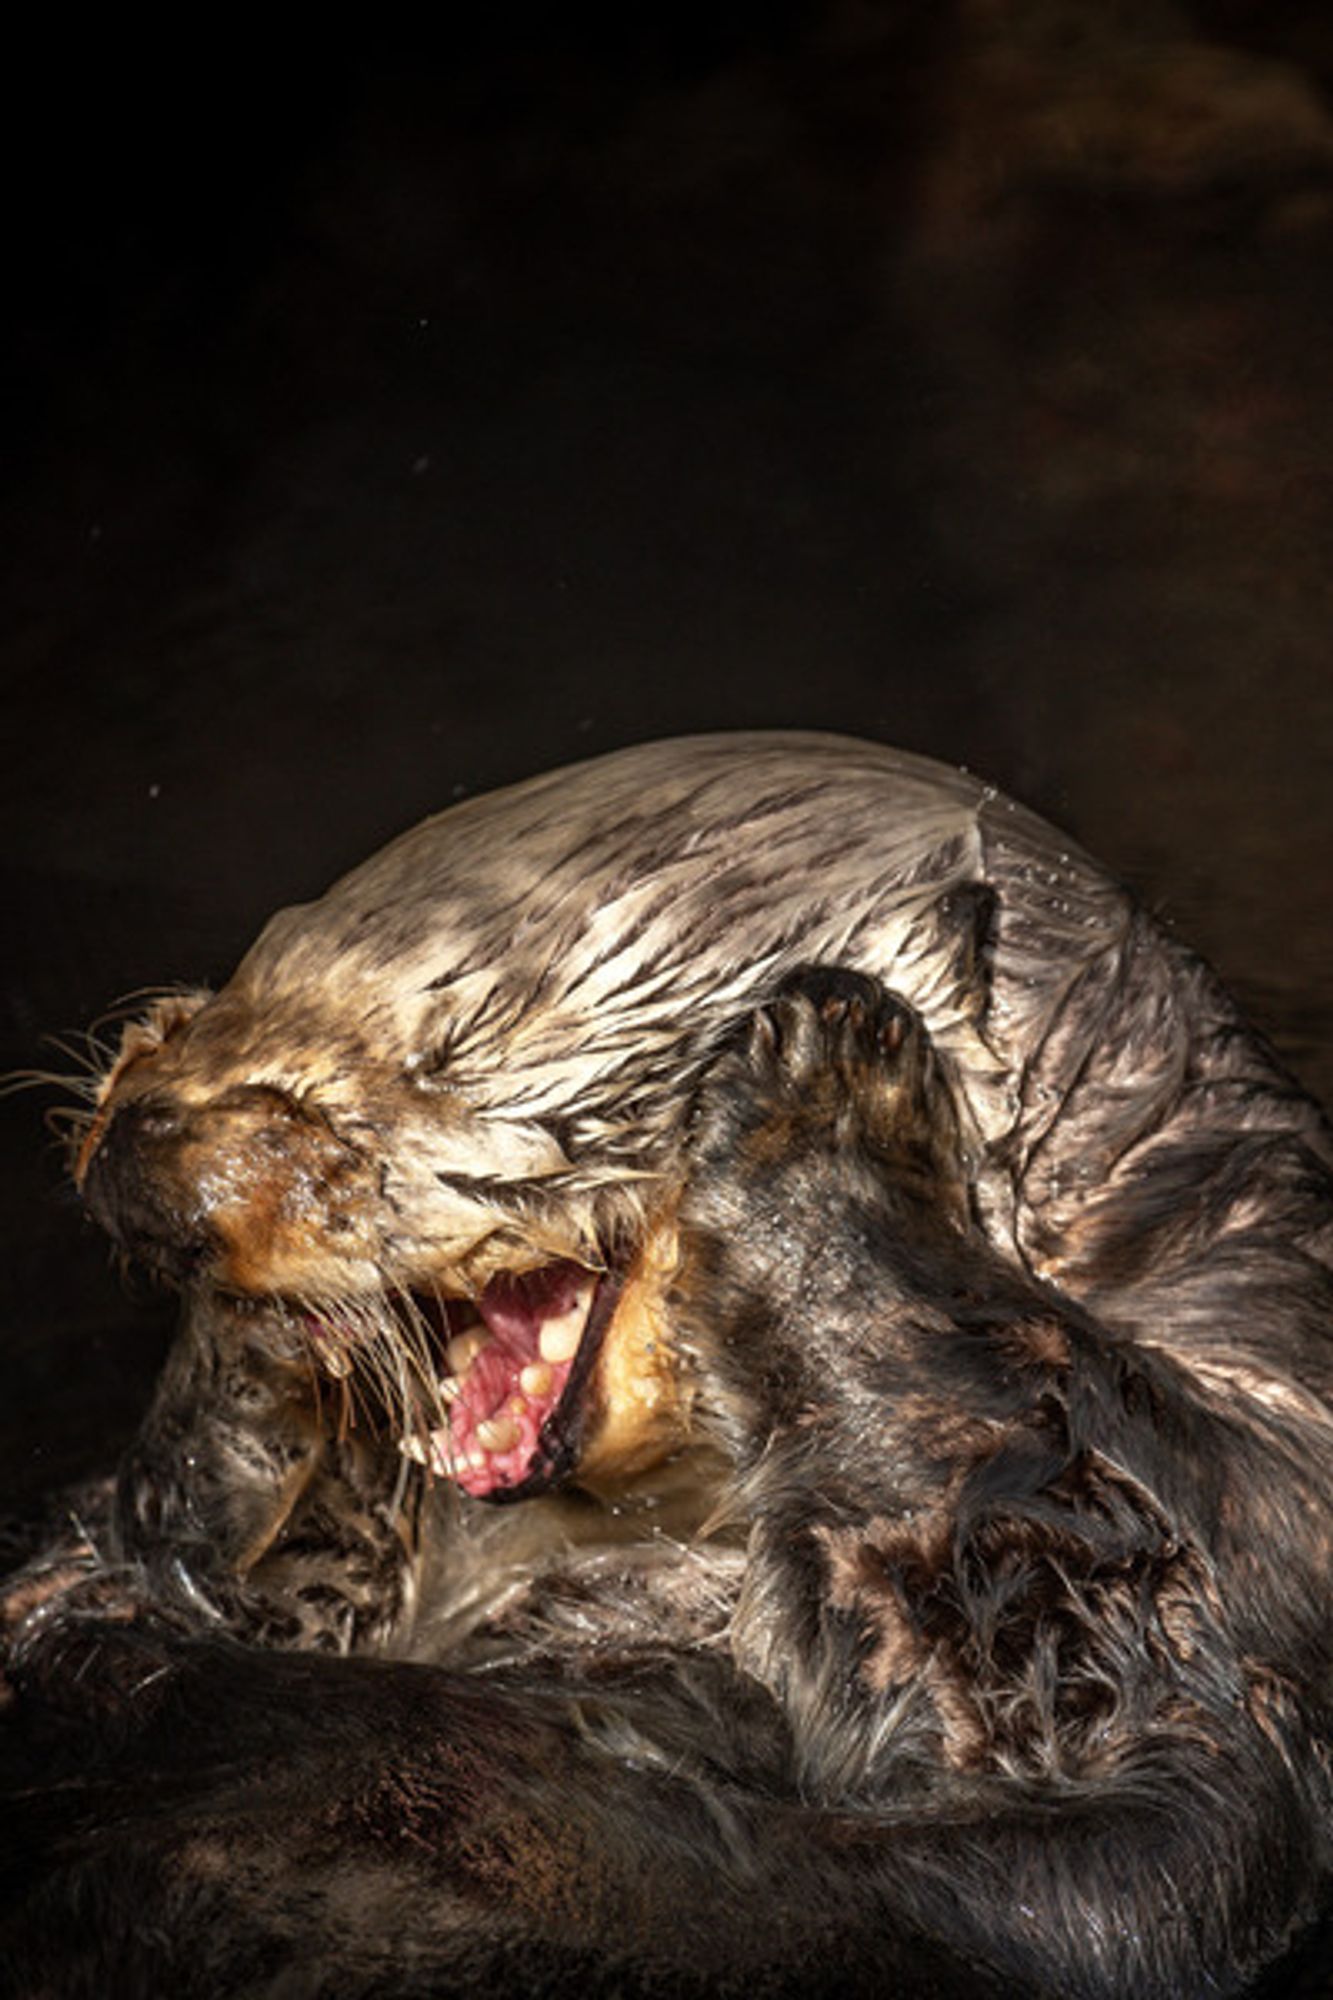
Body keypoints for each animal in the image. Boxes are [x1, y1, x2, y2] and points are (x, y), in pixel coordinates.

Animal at [2, 740, 1328, 2000]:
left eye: (446, 1054)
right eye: (247, 968)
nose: (142, 1136)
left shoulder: (1221, 1535)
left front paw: (823, 1100)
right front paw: (252, 1365)